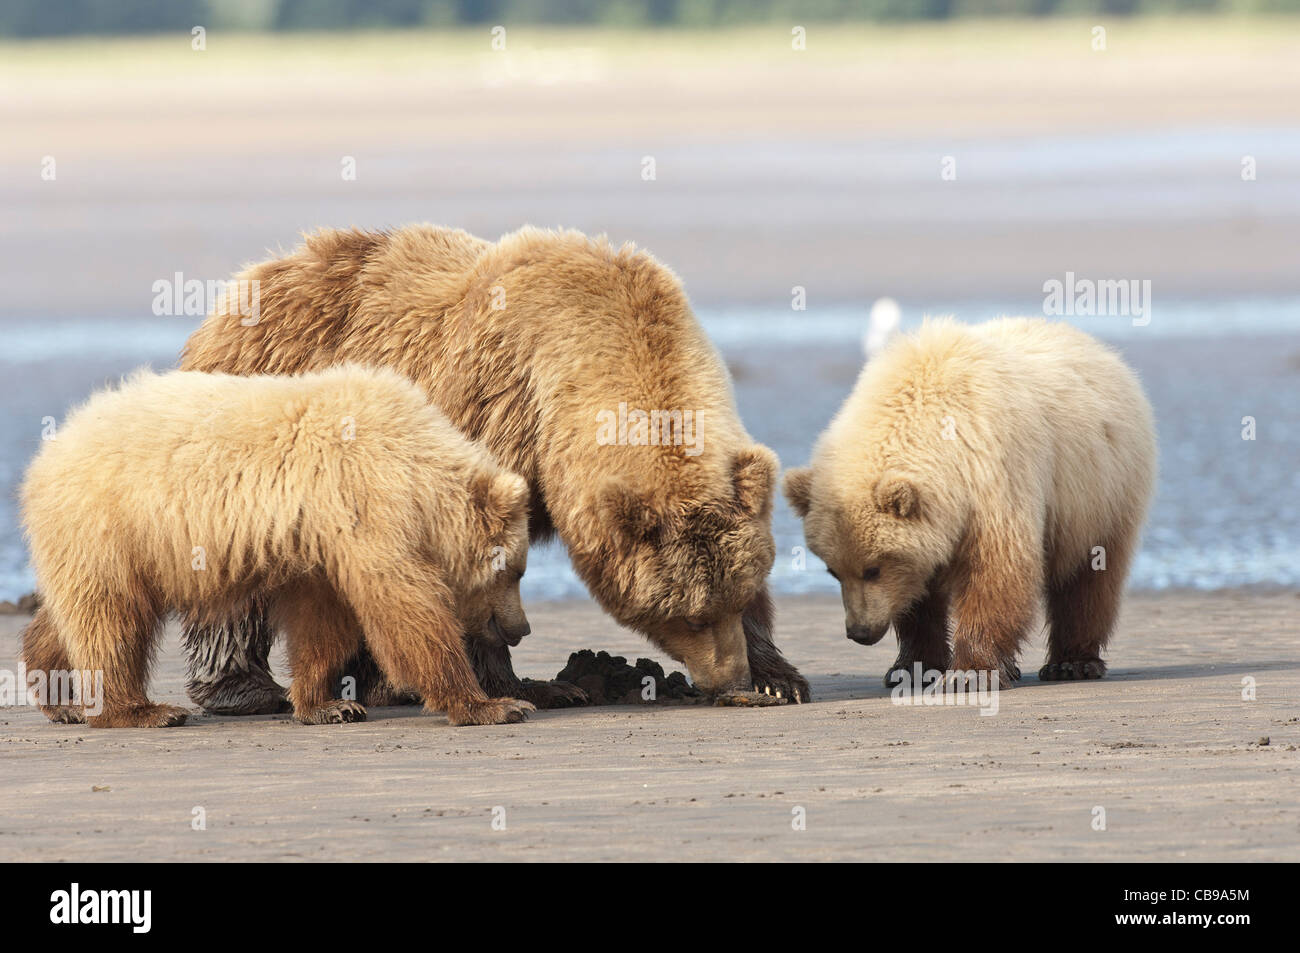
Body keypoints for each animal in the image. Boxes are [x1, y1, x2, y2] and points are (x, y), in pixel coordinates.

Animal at [19, 364, 536, 728]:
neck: (414, 469)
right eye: (516, 570)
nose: (522, 628)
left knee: (76, 611)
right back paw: (139, 710)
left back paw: (57, 695)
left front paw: (325, 704)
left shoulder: (321, 541)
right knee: (110, 618)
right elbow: (405, 607)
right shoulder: (363, 501)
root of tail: (46, 454)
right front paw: (493, 703)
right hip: (110, 521)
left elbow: (322, 618)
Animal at [178, 224, 808, 713]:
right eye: (689, 614)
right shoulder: (497, 414)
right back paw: (244, 688)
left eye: (736, 598)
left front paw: (779, 680)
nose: (730, 678)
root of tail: (246, 284)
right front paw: (525, 686)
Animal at [783, 317, 1156, 686]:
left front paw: (968, 672)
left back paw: (1071, 663)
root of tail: (1097, 346)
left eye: (873, 569)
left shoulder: (992, 476)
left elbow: (997, 571)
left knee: (1089, 577)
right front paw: (912, 666)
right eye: (833, 570)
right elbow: (919, 596)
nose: (859, 631)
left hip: (1101, 490)